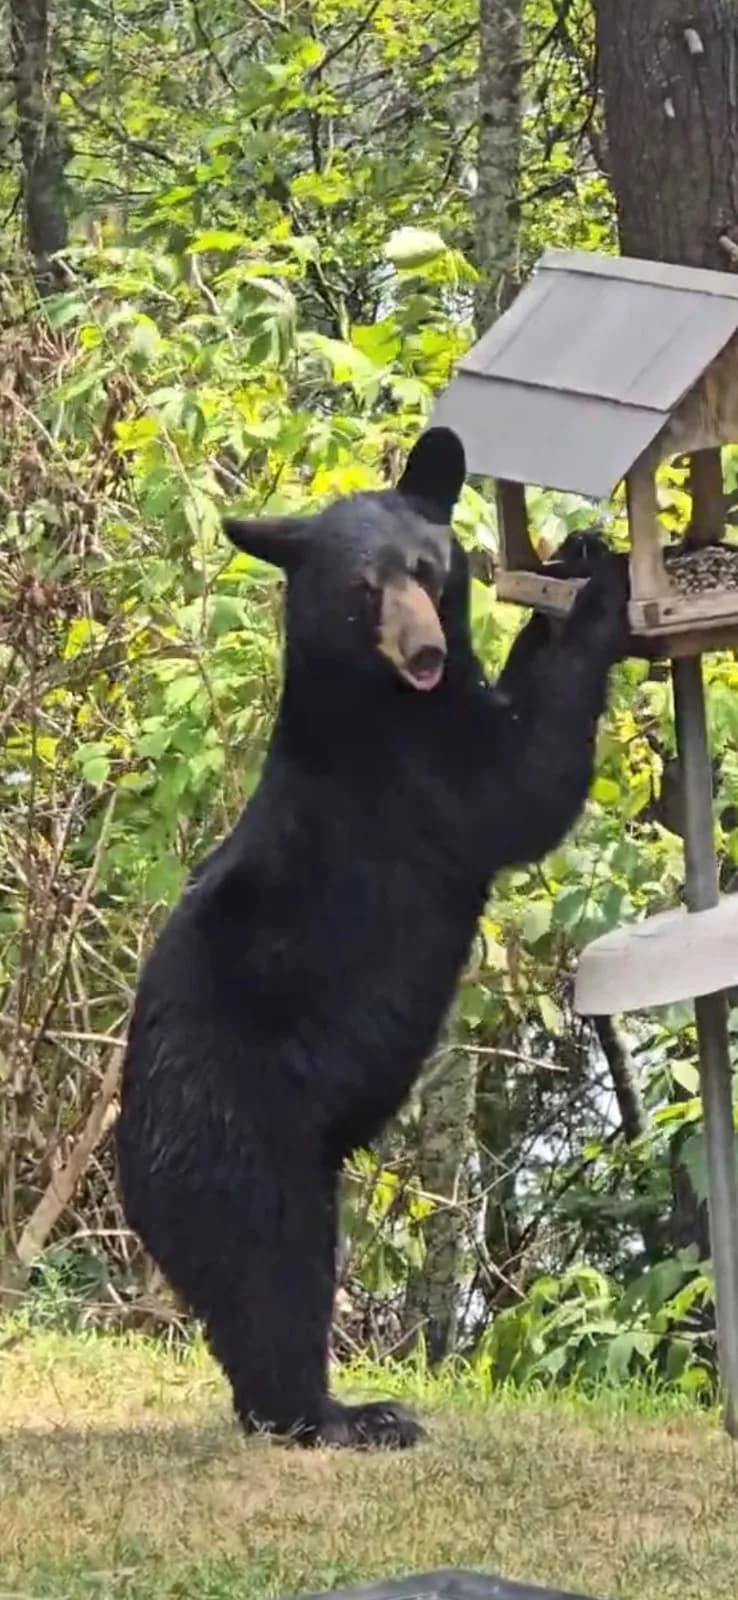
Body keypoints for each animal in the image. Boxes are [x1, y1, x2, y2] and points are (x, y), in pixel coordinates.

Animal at [115, 427, 630, 1449]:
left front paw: (574, 558)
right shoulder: (413, 773)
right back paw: (344, 1415)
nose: (424, 647)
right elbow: (522, 786)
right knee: (271, 1269)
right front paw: (600, 601)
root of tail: (124, 1151)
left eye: (426, 569)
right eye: (362, 589)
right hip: (235, 1130)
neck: (379, 695)